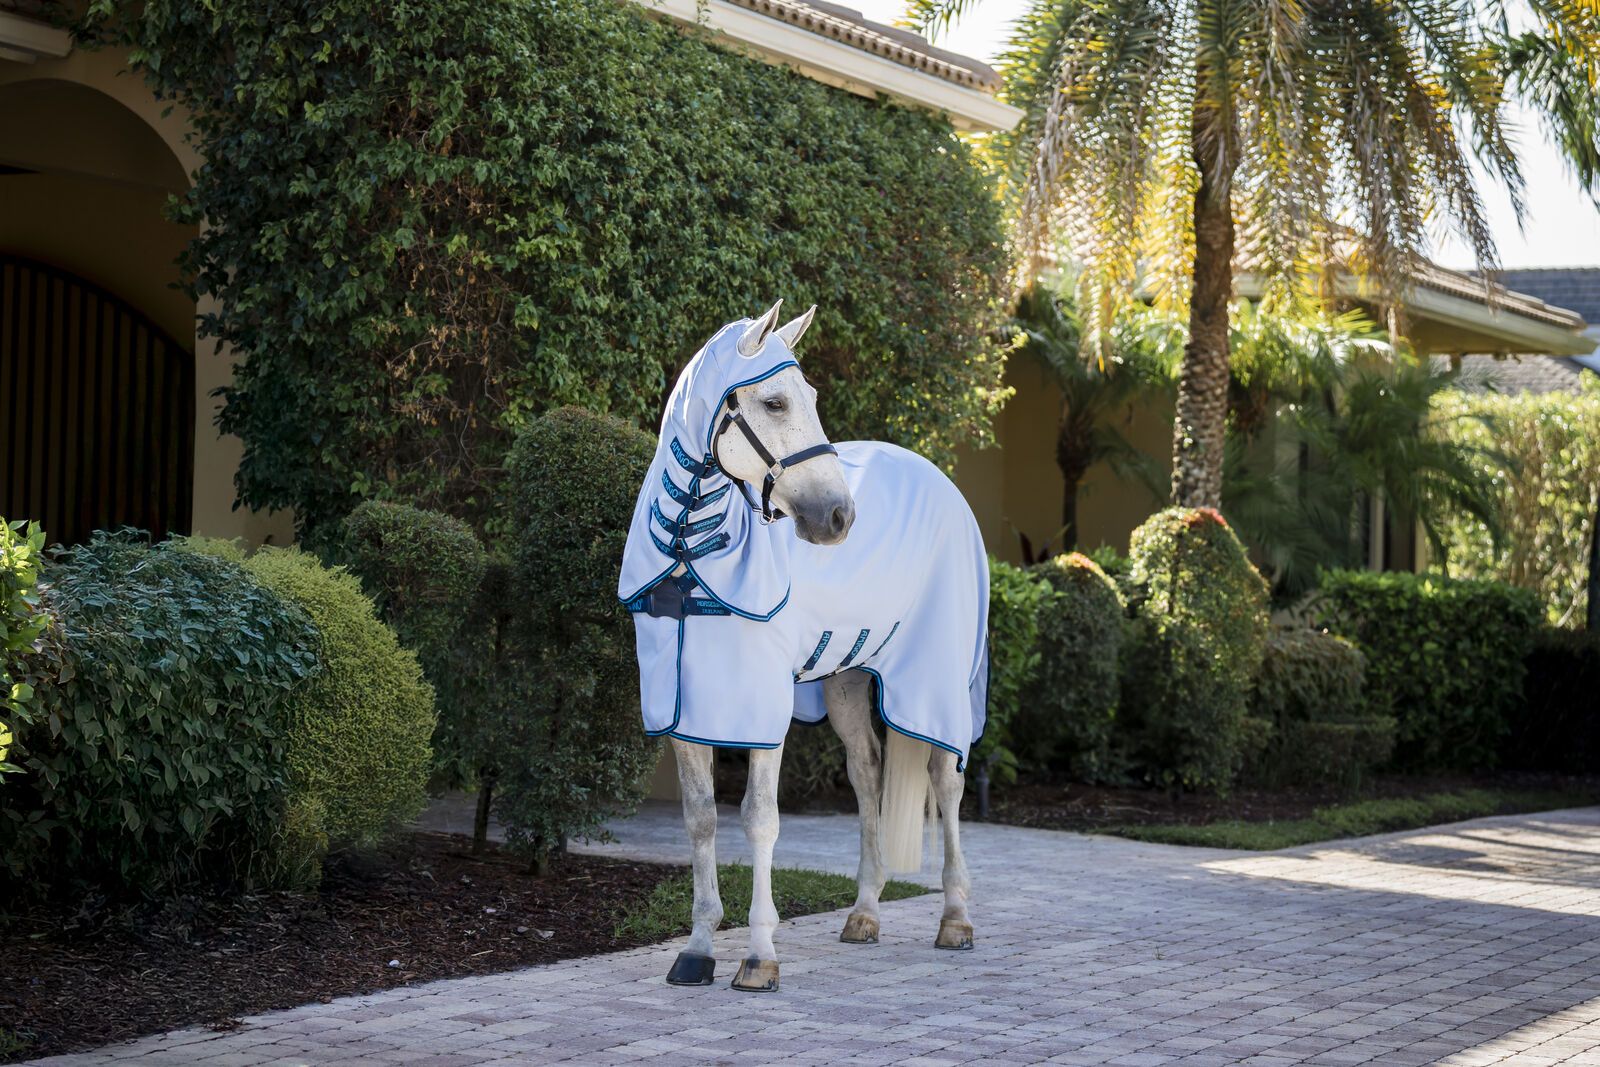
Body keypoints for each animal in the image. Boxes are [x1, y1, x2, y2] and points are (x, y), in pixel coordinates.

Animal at [618, 301, 990, 993]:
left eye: (810, 398)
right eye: (773, 402)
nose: (840, 517)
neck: (690, 553)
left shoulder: (760, 709)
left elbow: (759, 819)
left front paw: (759, 954)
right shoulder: (684, 712)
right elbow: (701, 819)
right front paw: (699, 948)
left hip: (935, 680)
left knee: (944, 781)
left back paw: (955, 918)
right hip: (845, 680)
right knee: (867, 772)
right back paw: (865, 912)